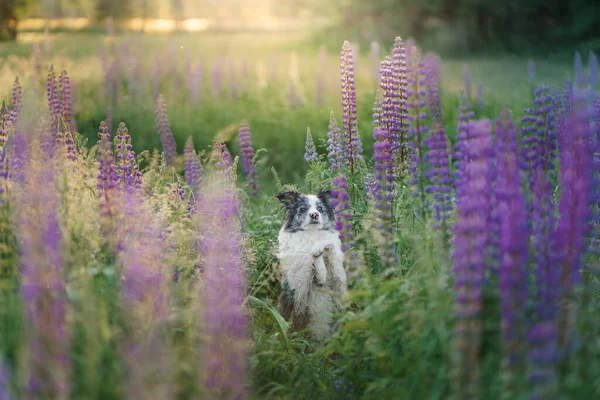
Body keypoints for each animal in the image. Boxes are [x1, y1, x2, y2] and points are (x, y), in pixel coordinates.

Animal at [276, 189, 350, 340]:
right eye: (303, 209)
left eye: (320, 208)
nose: (314, 214)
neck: (312, 235)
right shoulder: (300, 284)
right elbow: (315, 263)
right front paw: (319, 263)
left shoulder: (338, 283)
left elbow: (330, 253)